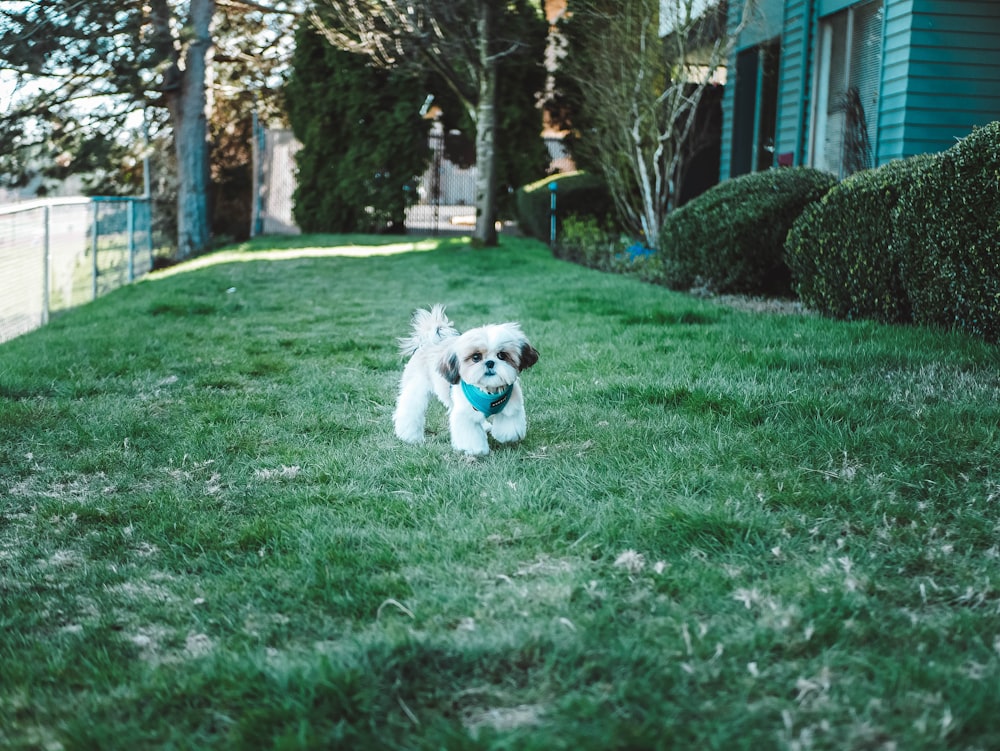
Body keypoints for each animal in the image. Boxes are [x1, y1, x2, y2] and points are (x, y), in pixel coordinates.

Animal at [394, 306, 544, 458]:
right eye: (476, 357)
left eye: (502, 355)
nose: (490, 362)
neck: (489, 392)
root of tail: (429, 341)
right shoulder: (465, 414)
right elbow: (470, 435)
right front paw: (476, 450)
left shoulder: (511, 406)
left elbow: (509, 429)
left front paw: (504, 436)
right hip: (416, 389)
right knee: (410, 411)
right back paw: (410, 436)